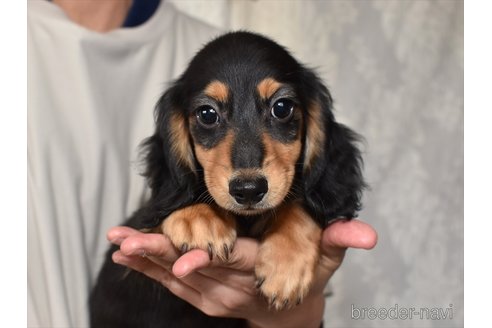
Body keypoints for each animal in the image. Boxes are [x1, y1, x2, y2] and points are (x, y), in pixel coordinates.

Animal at [89, 30, 366, 328]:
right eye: (207, 114)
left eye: (282, 107)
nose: (249, 190)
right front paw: (198, 217)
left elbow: (298, 205)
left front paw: (286, 263)